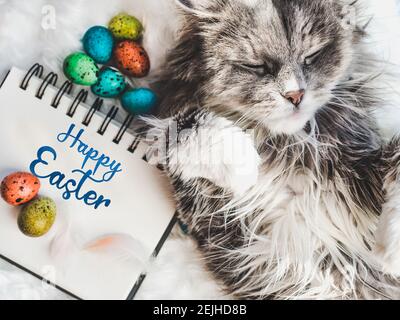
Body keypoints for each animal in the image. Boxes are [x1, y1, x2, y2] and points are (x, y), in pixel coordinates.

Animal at [145, 0, 400, 300]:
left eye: (311, 56)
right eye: (257, 66)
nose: (295, 95)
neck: (285, 147)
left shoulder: (360, 171)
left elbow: (396, 163)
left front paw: (391, 252)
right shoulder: (209, 217)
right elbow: (186, 125)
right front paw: (244, 166)